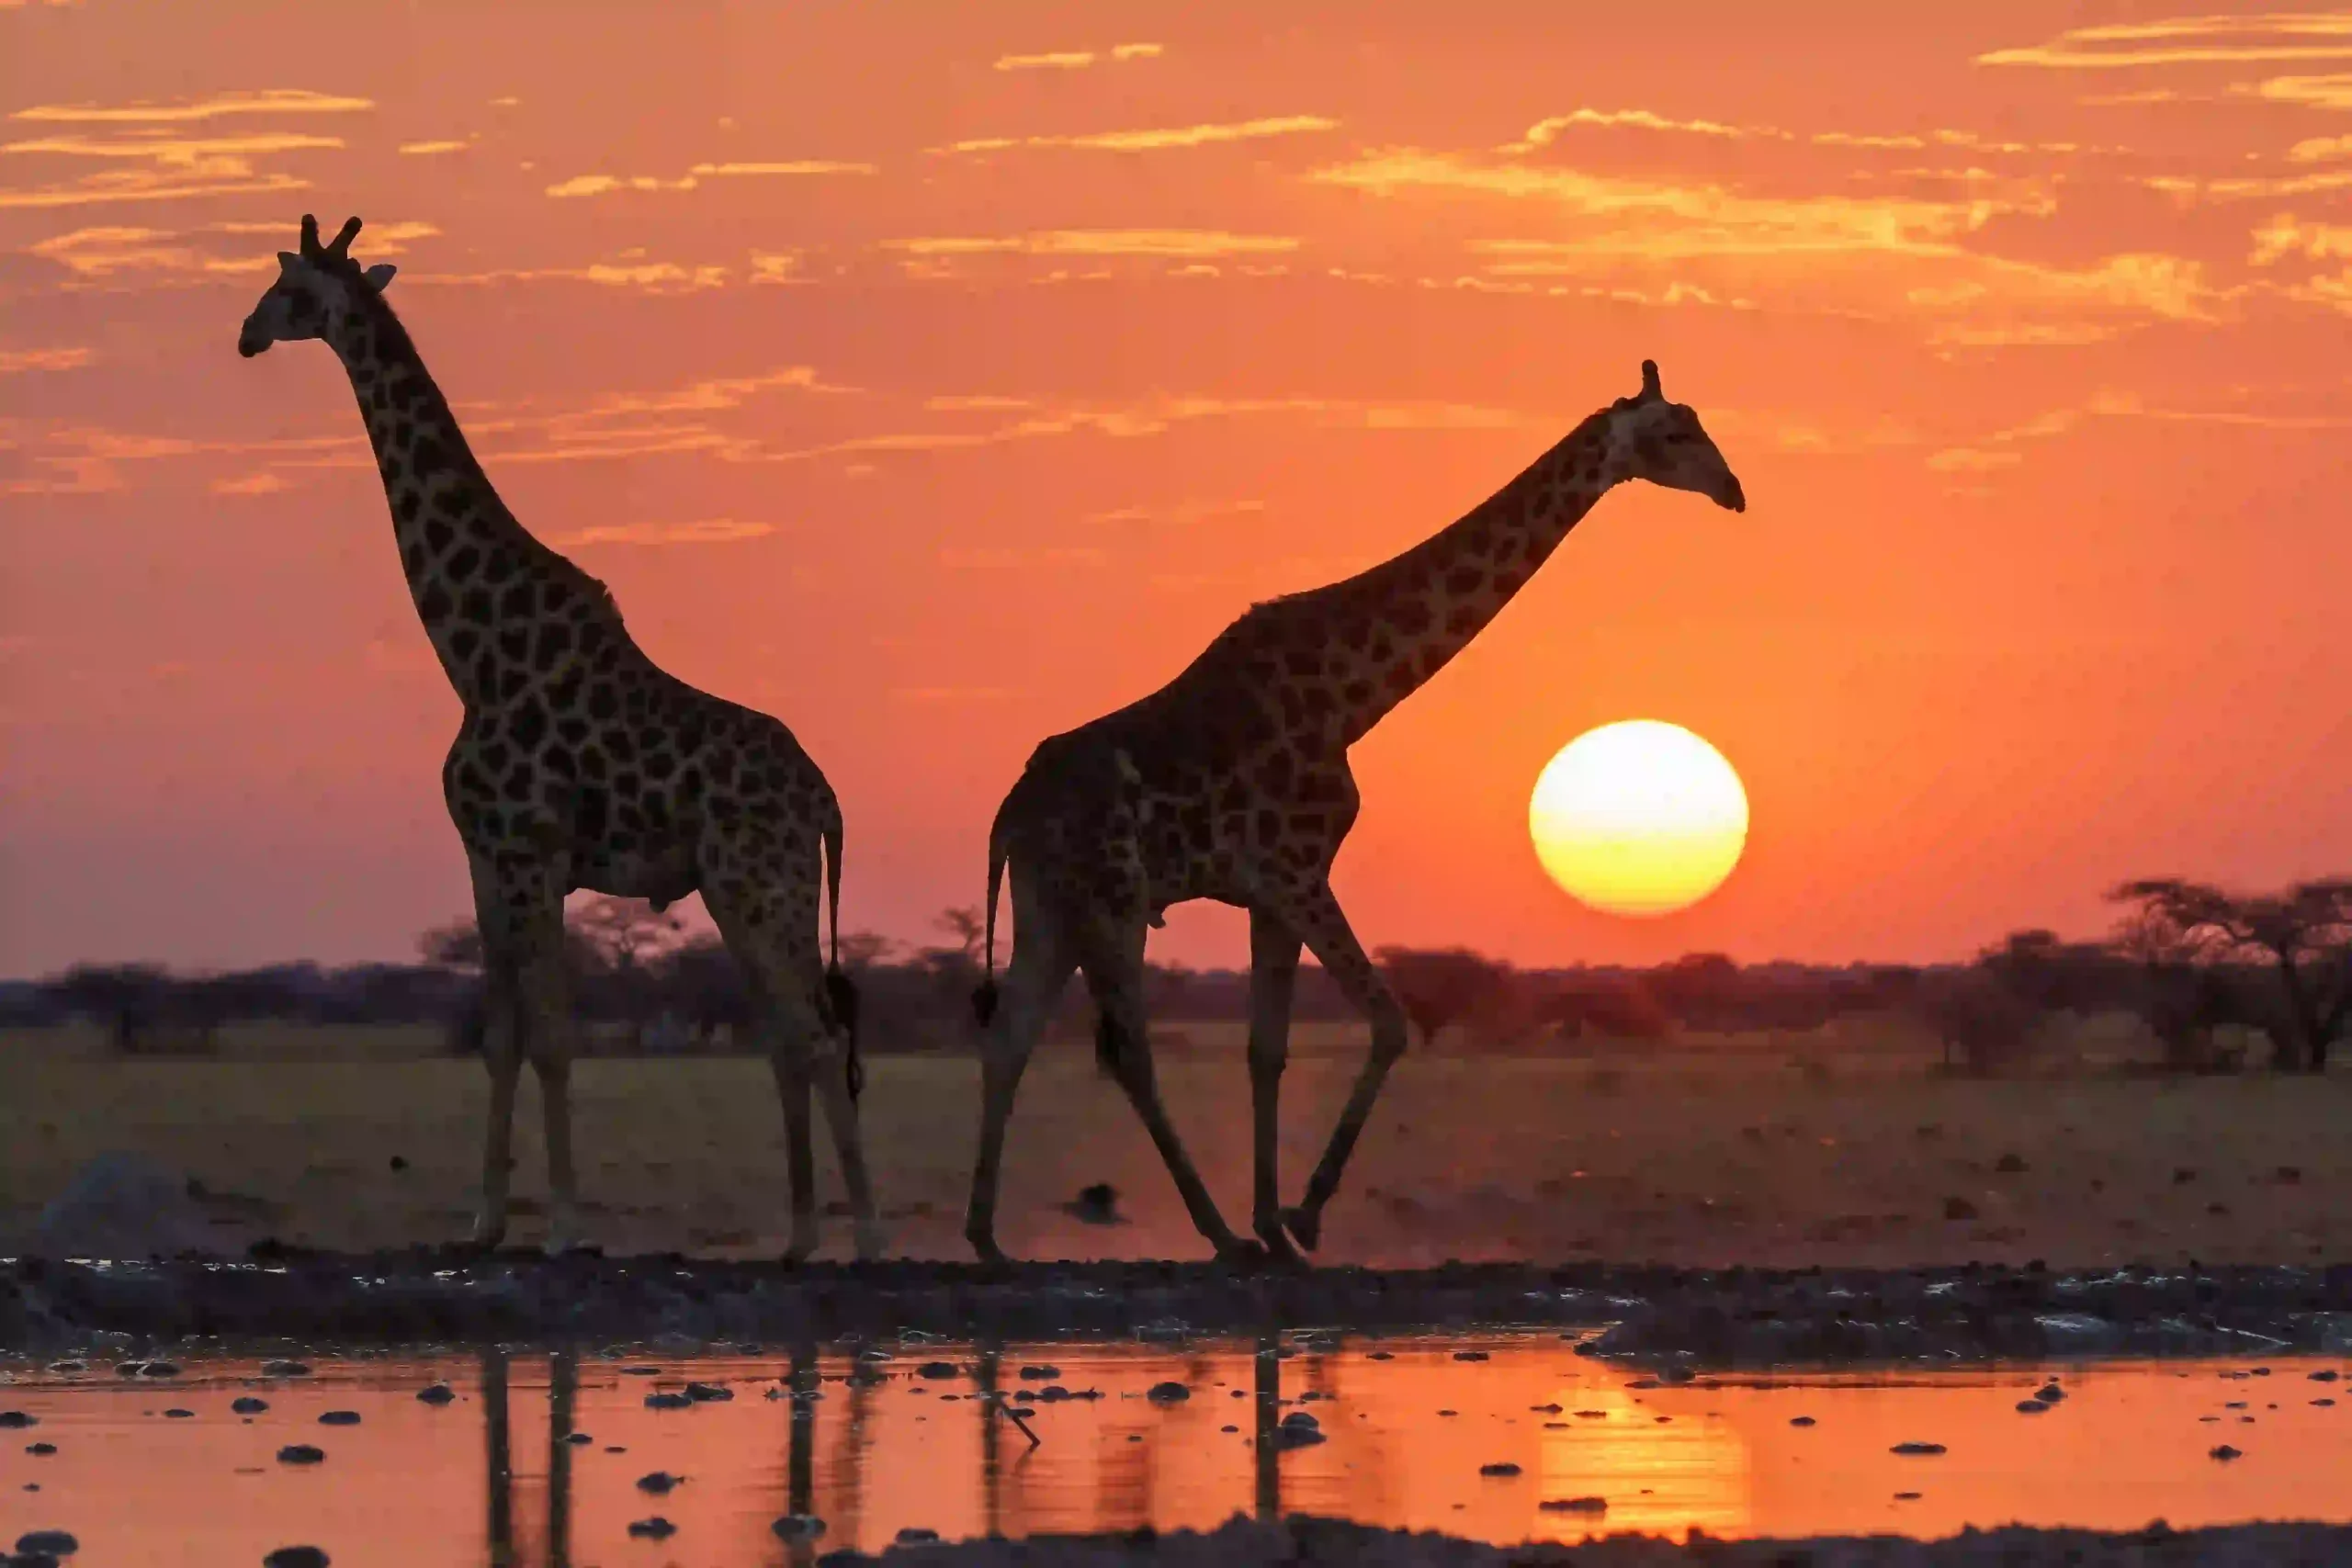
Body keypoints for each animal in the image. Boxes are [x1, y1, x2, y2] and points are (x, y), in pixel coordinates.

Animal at [235, 215, 879, 1259]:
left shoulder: (531, 853)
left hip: (763, 883)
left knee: (817, 1036)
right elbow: (501, 1037)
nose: (246, 334)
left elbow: (552, 1037)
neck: (473, 651)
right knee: (792, 1037)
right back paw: (795, 1239)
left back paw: (863, 1235)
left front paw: (567, 1226)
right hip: (738, 891)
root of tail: (825, 798)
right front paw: (484, 1221)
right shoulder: (484, 858)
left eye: (290, 290)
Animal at [964, 360, 1746, 1264]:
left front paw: (1275, 1221)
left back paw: (988, 1236)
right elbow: (1390, 1022)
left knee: (1010, 1035)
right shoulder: (1298, 869)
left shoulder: (1268, 893)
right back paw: (1214, 1234)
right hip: (1112, 900)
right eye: (1674, 432)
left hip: (1049, 904)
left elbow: (1267, 1050)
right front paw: (1299, 1216)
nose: (1733, 490)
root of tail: (1009, 815)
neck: (1352, 698)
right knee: (1125, 1052)